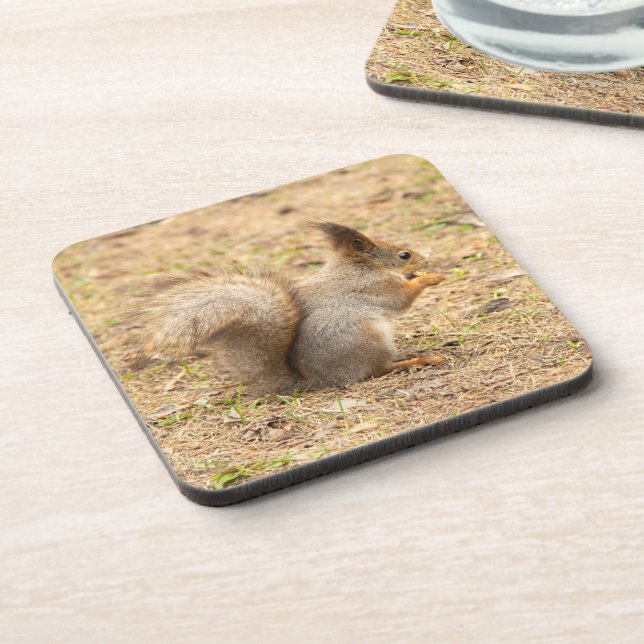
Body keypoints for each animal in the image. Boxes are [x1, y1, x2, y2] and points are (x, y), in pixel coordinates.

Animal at [128, 222, 445, 394]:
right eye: (404, 255)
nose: (427, 260)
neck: (361, 267)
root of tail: (317, 380)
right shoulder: (374, 287)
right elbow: (400, 299)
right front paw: (431, 277)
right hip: (368, 338)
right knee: (378, 370)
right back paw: (417, 361)